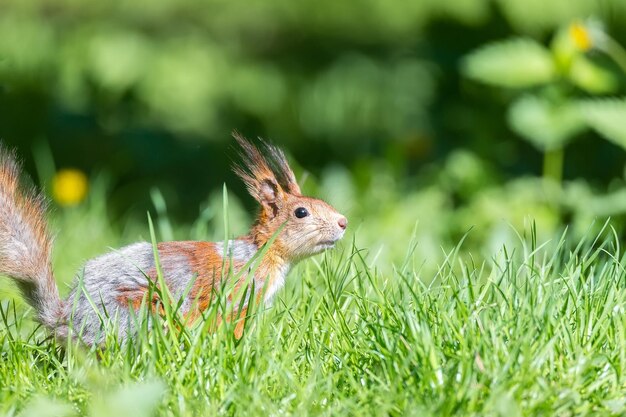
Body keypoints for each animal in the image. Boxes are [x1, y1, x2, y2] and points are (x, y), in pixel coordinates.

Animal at [0, 134, 346, 344]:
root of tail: (66, 321)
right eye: (301, 212)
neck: (260, 253)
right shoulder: (239, 295)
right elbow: (231, 325)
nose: (343, 222)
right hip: (140, 313)